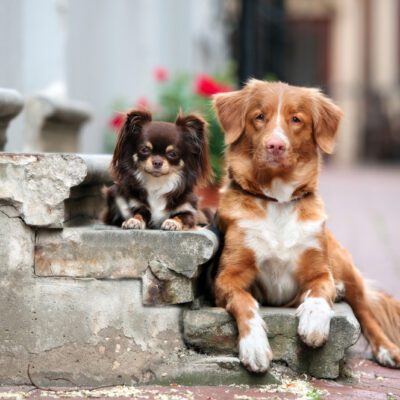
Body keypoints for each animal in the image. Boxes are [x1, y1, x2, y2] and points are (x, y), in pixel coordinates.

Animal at [214, 79, 400, 374]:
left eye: (296, 119)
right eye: (259, 117)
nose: (275, 145)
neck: (278, 201)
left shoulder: (319, 270)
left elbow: (320, 292)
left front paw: (313, 322)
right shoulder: (227, 277)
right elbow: (245, 303)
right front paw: (254, 346)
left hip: (344, 264)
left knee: (365, 313)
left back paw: (387, 349)